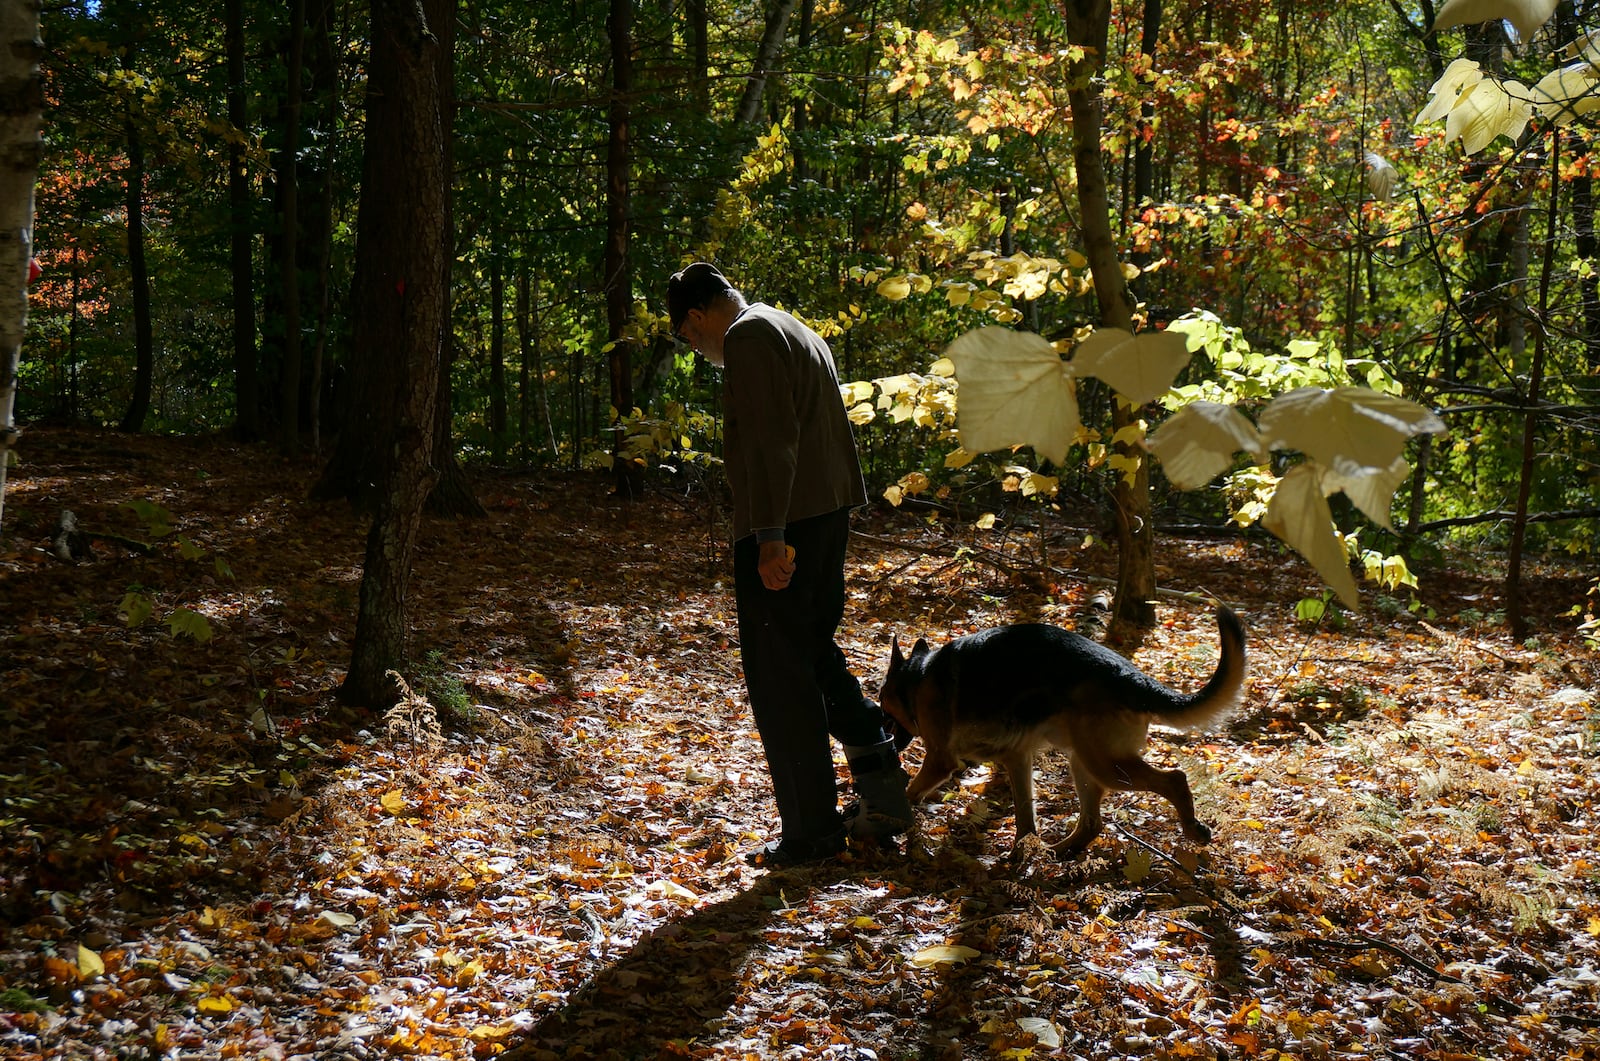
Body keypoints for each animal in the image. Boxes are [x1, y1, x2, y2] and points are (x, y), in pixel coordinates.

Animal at [883, 604, 1241, 857]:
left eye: (882, 704)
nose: (890, 746)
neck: (917, 677)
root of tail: (1134, 678)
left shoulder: (940, 759)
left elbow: (909, 791)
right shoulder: (1017, 759)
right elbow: (1026, 819)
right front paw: (1023, 853)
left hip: (1107, 766)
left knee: (1175, 779)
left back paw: (1193, 828)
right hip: (1083, 764)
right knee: (1093, 824)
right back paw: (1059, 852)